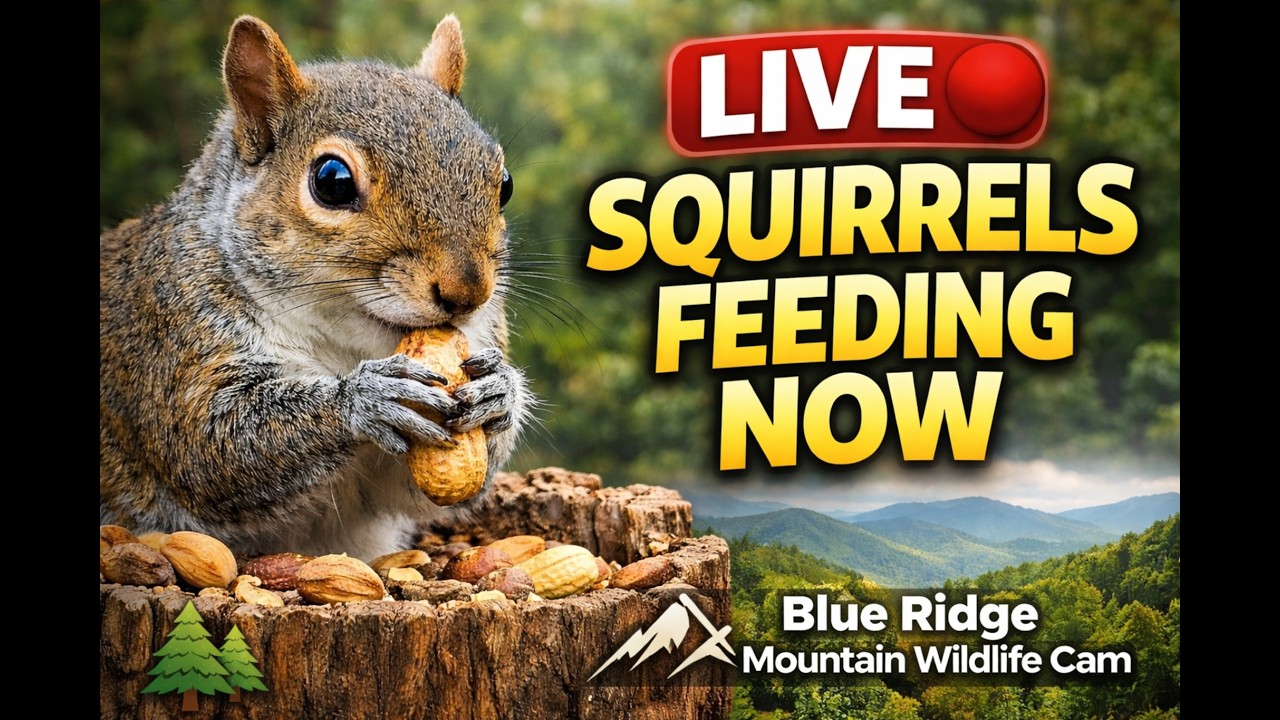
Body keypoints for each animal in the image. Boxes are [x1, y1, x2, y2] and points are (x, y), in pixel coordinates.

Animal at [100, 14, 532, 560]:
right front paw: (365, 398)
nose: (468, 293)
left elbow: (429, 486)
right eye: (332, 181)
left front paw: (499, 391)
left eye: (504, 183)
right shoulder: (176, 343)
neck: (346, 346)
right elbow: (210, 446)